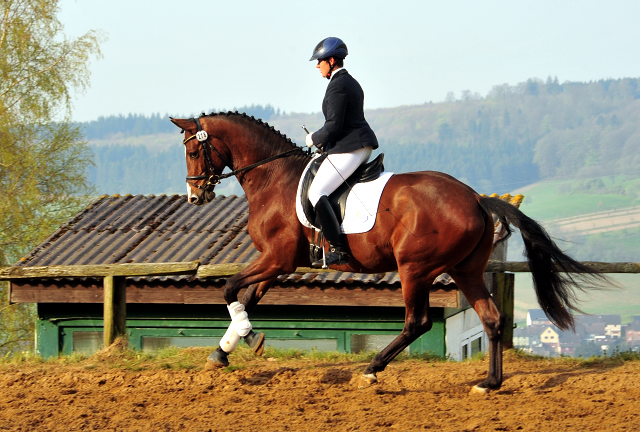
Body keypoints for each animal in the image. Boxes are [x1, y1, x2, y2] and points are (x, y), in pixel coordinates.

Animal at [169, 110, 604, 392]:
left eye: (192, 152)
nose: (195, 196)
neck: (273, 177)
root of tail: (477, 200)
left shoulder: (277, 258)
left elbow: (230, 289)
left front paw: (246, 340)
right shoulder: (277, 263)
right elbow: (245, 297)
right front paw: (226, 350)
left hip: (415, 268)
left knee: (418, 322)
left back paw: (372, 369)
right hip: (465, 270)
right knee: (492, 319)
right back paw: (489, 383)